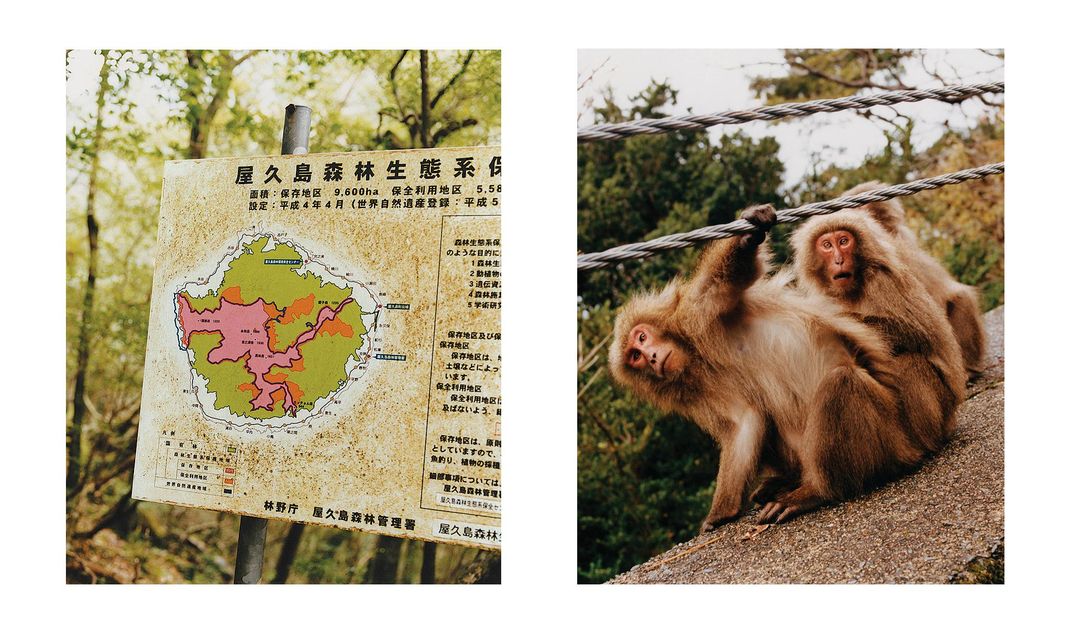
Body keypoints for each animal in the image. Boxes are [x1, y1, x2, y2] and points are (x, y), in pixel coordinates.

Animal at [613, 206, 930, 533]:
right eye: (635, 356)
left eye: (642, 337)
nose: (651, 357)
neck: (694, 353)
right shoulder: (695, 388)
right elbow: (744, 420)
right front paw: (723, 511)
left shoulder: (698, 314)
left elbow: (727, 282)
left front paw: (750, 230)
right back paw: (787, 481)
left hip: (889, 432)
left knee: (841, 382)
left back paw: (815, 492)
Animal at [788, 207, 973, 456]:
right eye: (826, 245)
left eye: (844, 241)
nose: (838, 259)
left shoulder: (882, 281)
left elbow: (919, 334)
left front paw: (842, 319)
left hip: (943, 409)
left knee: (909, 360)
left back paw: (923, 442)